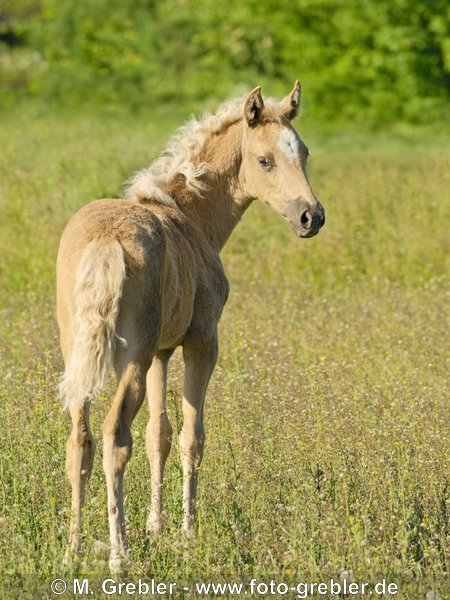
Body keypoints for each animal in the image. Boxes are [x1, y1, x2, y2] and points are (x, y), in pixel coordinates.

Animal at [56, 81, 326, 572]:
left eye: (305, 153)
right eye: (264, 160)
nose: (310, 217)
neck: (189, 216)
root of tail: (106, 242)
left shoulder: (163, 351)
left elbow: (158, 435)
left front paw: (156, 529)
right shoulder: (201, 343)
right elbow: (190, 437)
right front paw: (187, 536)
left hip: (80, 355)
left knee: (79, 442)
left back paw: (73, 552)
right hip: (132, 357)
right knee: (113, 436)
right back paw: (119, 555)